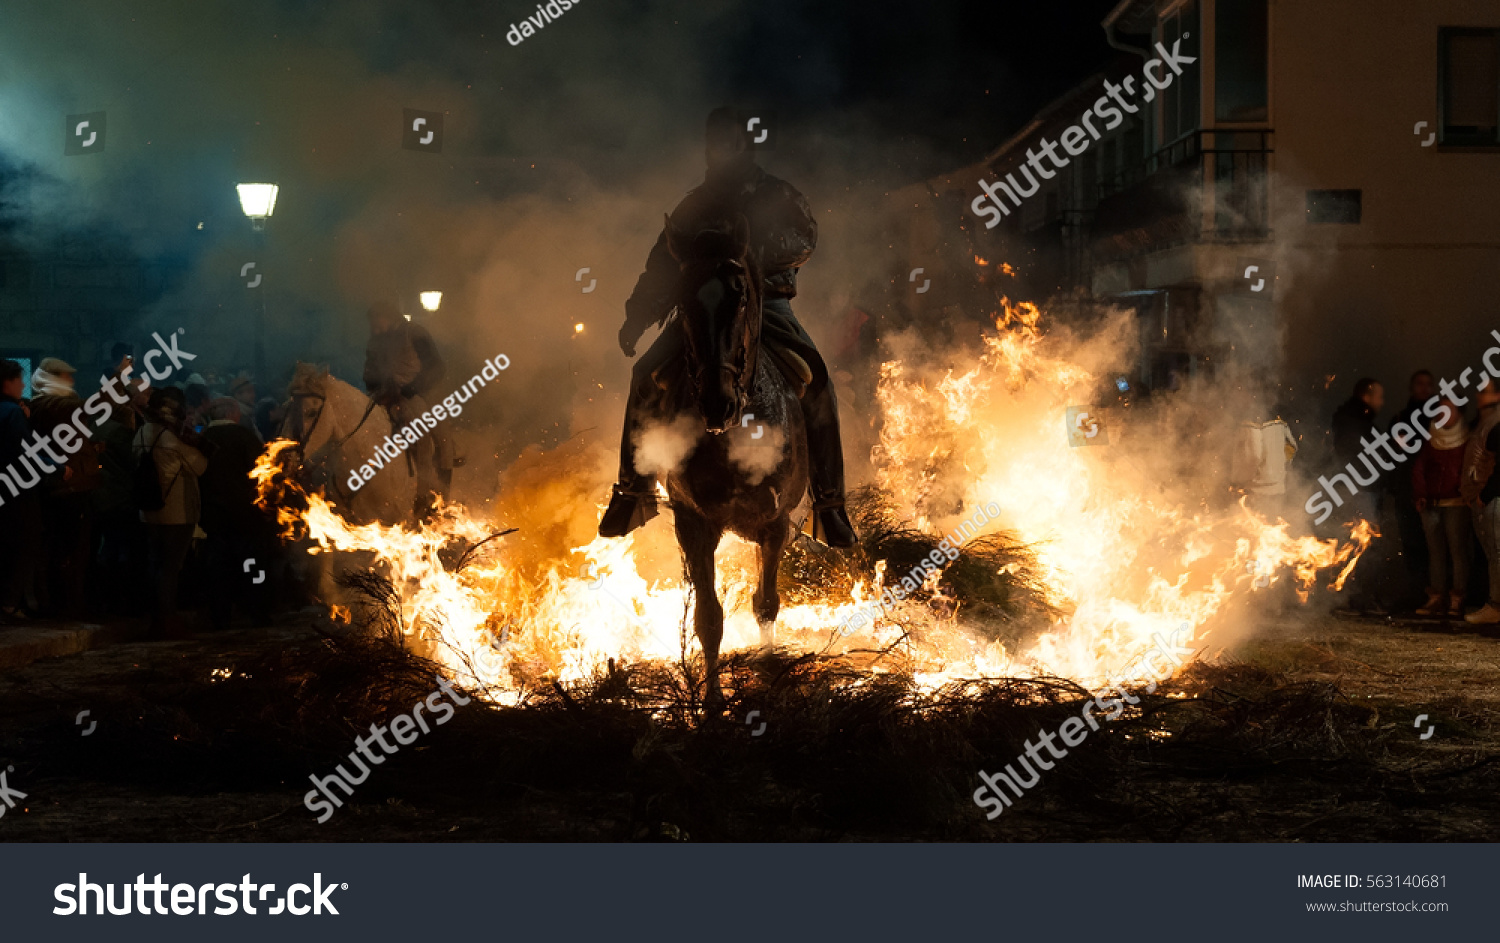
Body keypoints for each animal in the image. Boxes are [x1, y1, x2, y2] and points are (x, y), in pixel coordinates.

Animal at [663, 212, 810, 707]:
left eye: (741, 295)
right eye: (682, 297)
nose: (716, 402)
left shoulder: (775, 525)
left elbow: (765, 604)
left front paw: (768, 677)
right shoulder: (693, 524)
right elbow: (708, 618)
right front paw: (711, 706)